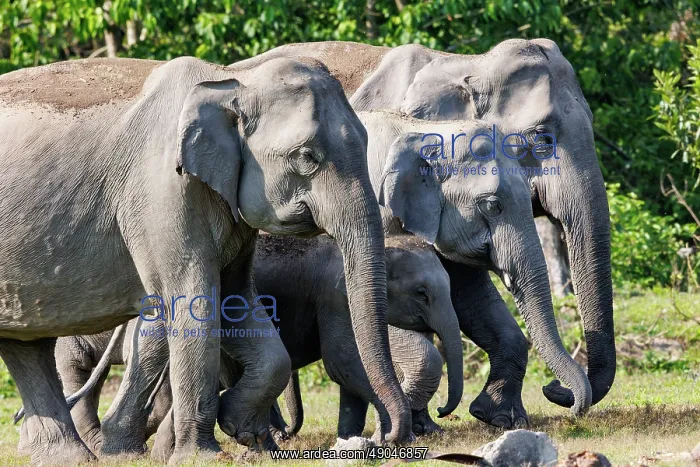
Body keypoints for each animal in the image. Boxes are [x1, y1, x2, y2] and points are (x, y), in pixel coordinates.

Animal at [0, 55, 412, 465]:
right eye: (307, 157)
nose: (387, 439)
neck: (232, 80)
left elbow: (236, 301)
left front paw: (239, 427)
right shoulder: (162, 192)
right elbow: (196, 301)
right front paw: (203, 454)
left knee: (26, 345)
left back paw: (73, 455)